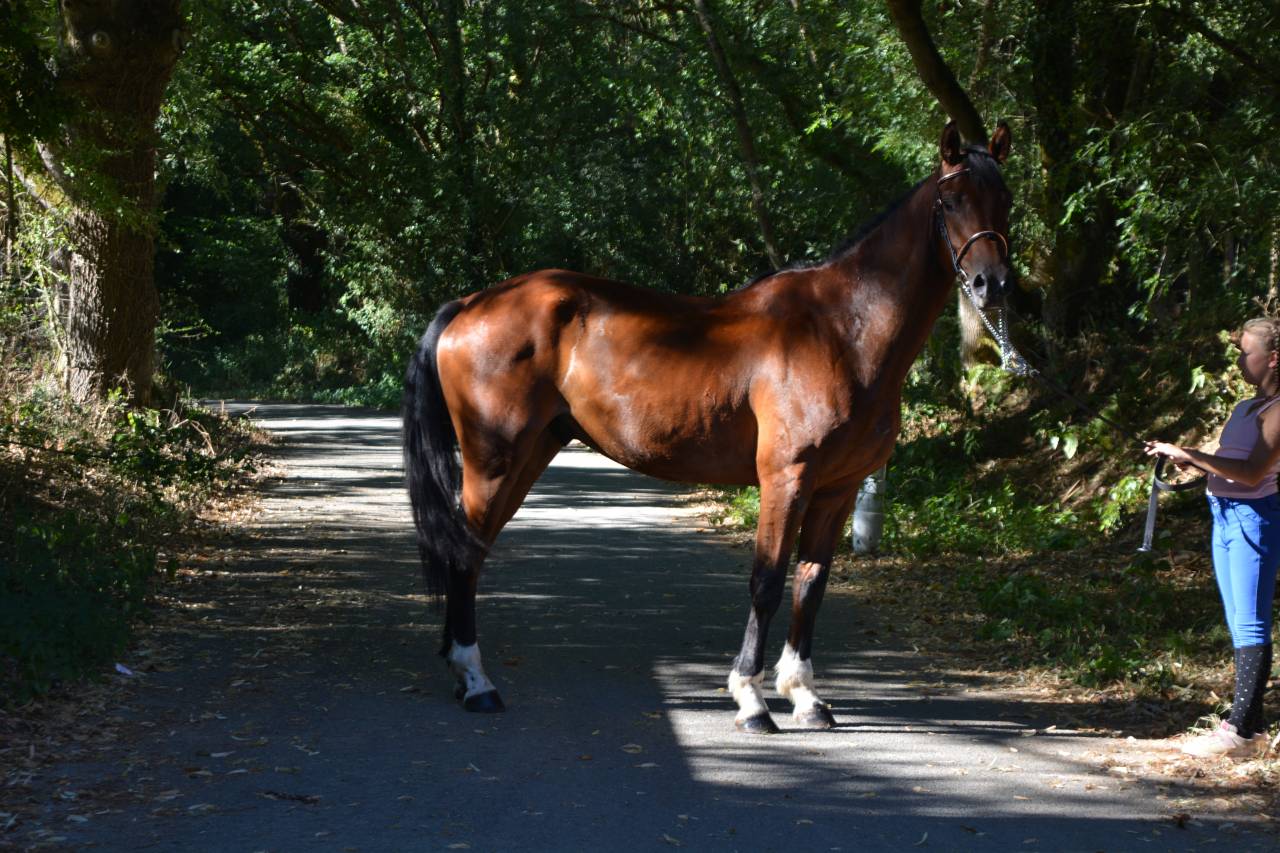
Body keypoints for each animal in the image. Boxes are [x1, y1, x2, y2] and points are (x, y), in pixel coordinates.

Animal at [404, 120, 1013, 733]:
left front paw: (805, 697)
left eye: (1005, 200)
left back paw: (463, 672)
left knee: (472, 550)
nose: (993, 284)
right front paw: (751, 700)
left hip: (528, 456)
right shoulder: (786, 478)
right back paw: (477, 682)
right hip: (494, 460)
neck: (843, 329)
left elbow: (811, 584)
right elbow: (768, 582)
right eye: (952, 200)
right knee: (465, 554)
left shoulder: (836, 490)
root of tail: (471, 304)